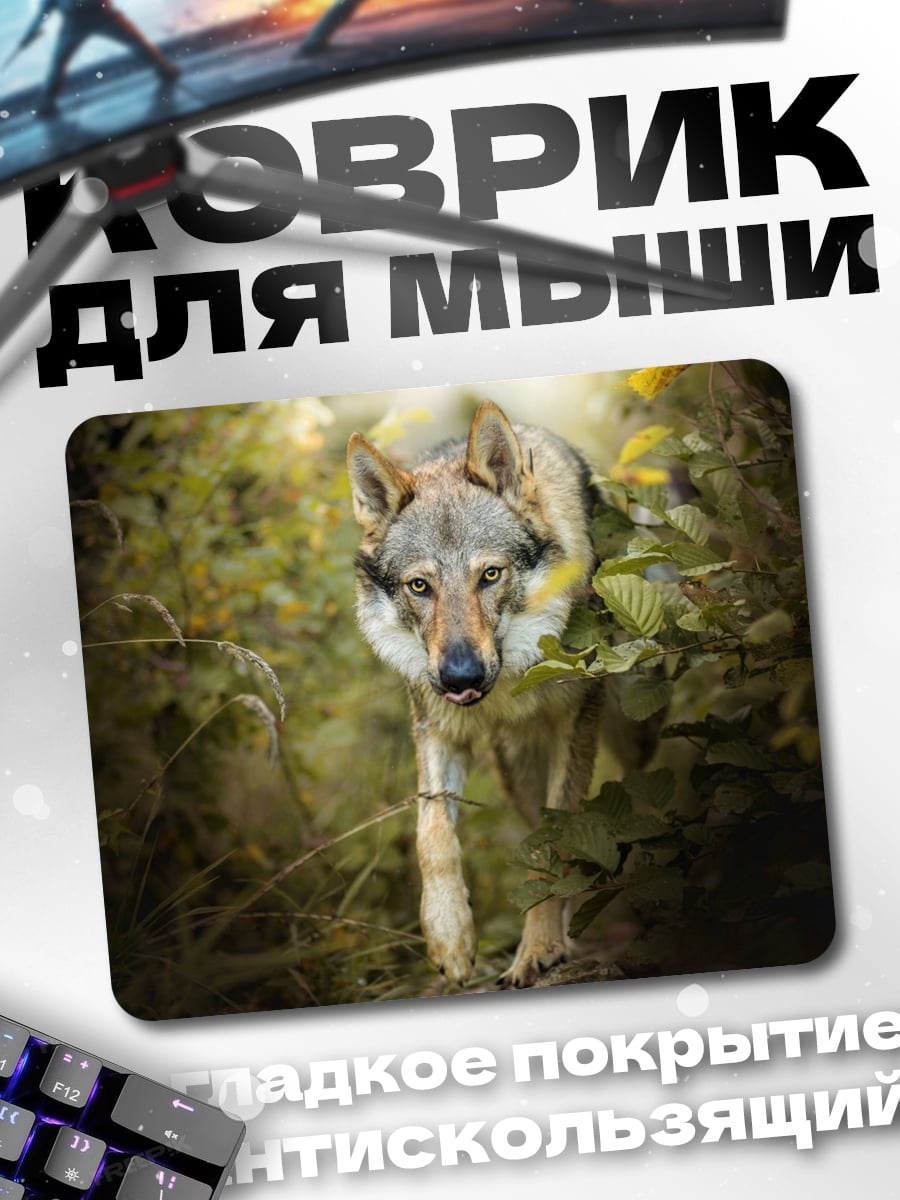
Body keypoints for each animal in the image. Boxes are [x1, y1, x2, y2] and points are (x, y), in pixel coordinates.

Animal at [347, 401, 603, 987]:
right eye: (420, 586)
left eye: (489, 575)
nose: (460, 677)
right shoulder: (437, 731)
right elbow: (432, 836)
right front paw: (450, 938)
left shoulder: (576, 724)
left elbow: (554, 845)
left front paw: (538, 949)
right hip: (516, 771)